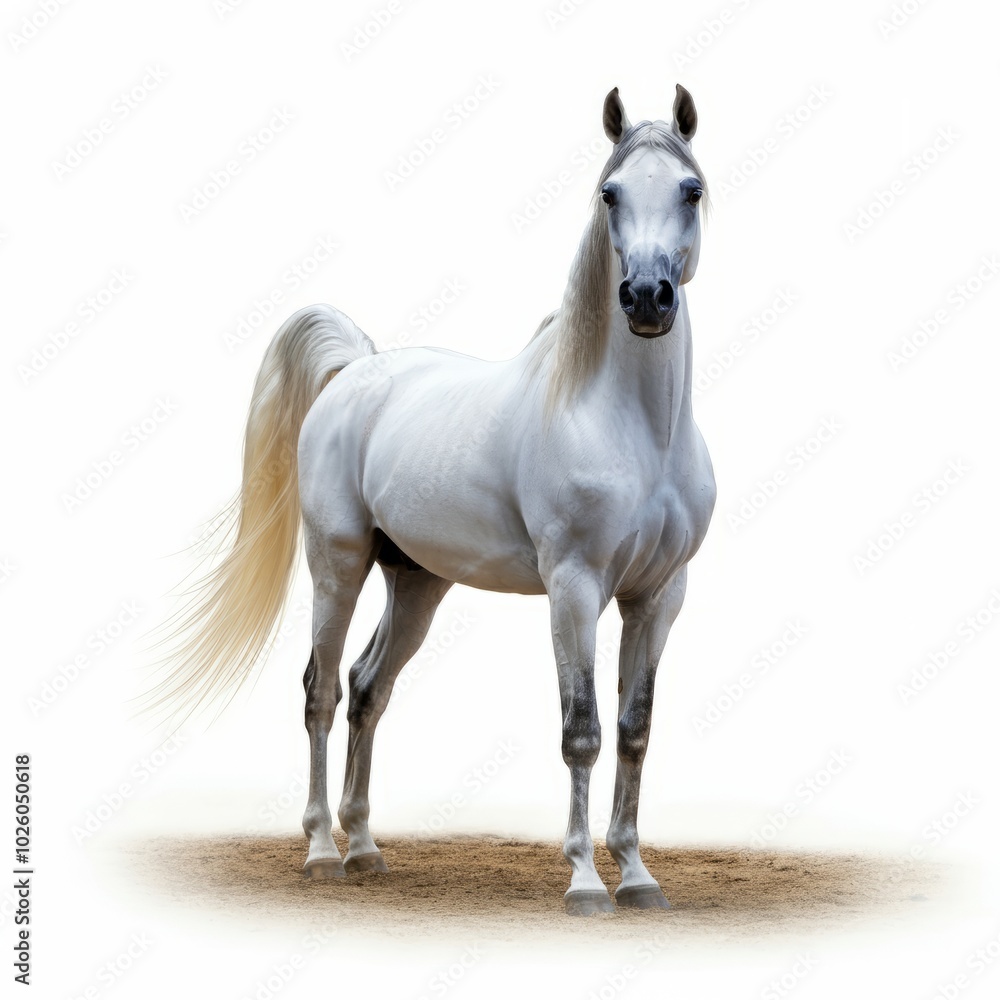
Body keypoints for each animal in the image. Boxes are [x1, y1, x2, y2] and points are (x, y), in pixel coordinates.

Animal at [152, 84, 716, 916]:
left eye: (690, 189)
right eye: (610, 194)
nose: (646, 299)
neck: (630, 425)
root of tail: (356, 370)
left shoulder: (659, 596)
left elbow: (634, 729)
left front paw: (639, 877)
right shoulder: (574, 588)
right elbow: (581, 730)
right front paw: (584, 882)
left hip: (417, 582)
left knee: (367, 688)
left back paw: (366, 848)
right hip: (338, 566)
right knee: (321, 691)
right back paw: (321, 852)